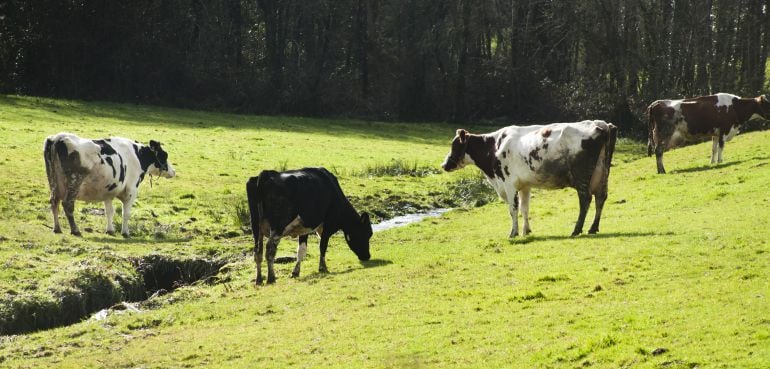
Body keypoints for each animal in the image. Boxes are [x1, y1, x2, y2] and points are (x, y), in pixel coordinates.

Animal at [44, 132, 176, 236]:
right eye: (164, 155)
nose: (173, 171)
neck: (137, 155)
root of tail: (58, 138)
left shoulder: (108, 191)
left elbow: (109, 212)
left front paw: (110, 230)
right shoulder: (131, 190)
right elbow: (126, 213)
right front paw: (125, 232)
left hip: (53, 181)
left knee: (54, 201)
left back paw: (57, 228)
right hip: (74, 181)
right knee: (68, 204)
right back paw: (75, 230)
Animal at [440, 119, 616, 237]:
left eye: (454, 146)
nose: (444, 165)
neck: (495, 146)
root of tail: (602, 125)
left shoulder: (509, 183)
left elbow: (513, 209)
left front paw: (513, 233)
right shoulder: (524, 185)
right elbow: (524, 208)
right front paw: (526, 231)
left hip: (582, 177)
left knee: (585, 199)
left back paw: (576, 230)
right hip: (602, 174)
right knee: (601, 198)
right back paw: (593, 228)